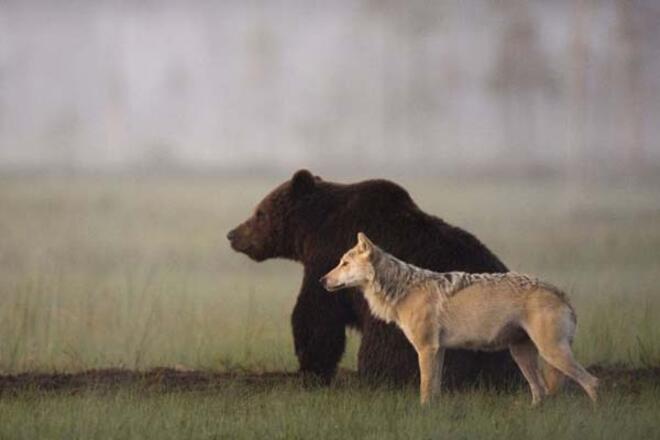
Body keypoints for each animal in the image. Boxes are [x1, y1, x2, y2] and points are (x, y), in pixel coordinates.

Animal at [227, 170, 520, 386]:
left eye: (259, 213)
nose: (233, 234)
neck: (313, 230)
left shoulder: (328, 257)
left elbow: (316, 315)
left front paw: (310, 368)